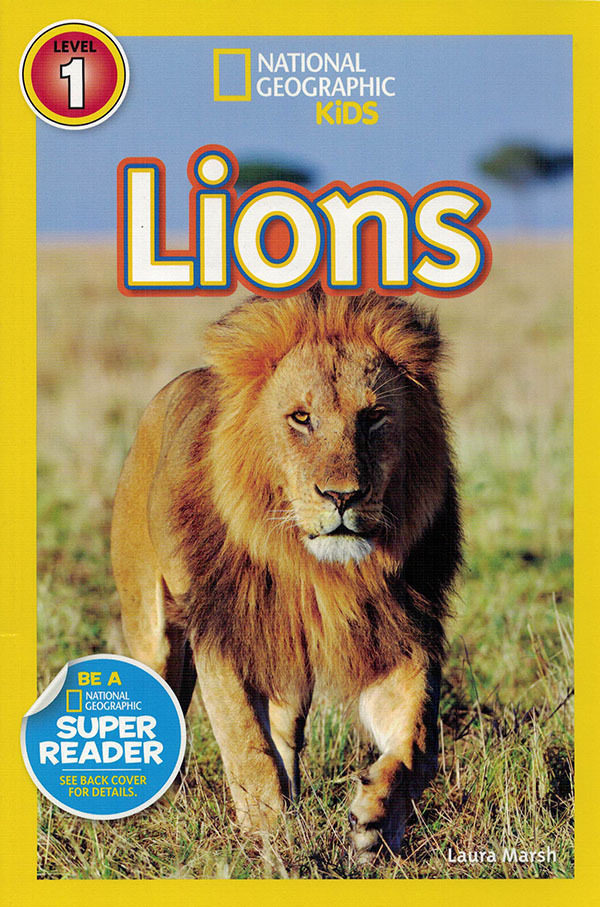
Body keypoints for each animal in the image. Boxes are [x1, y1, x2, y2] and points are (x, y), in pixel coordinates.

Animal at [111, 286, 461, 859]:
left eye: (374, 417)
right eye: (300, 418)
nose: (342, 496)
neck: (316, 571)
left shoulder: (398, 633)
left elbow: (417, 743)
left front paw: (376, 821)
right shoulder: (225, 633)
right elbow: (246, 745)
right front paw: (268, 838)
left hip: (289, 666)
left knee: (285, 732)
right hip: (153, 628)